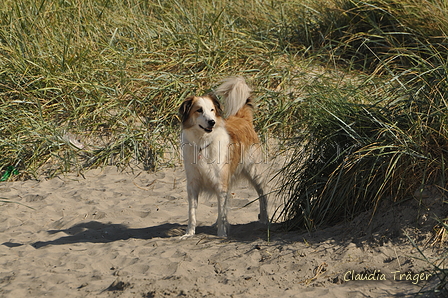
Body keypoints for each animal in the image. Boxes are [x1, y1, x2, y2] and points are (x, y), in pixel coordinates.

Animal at [178, 76, 268, 237]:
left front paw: (221, 235)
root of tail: (243, 119)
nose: (212, 122)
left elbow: (221, 211)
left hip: (254, 172)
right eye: (199, 110)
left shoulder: (221, 184)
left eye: (212, 110)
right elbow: (192, 213)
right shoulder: (193, 185)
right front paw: (189, 233)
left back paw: (264, 219)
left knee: (263, 195)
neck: (203, 144)